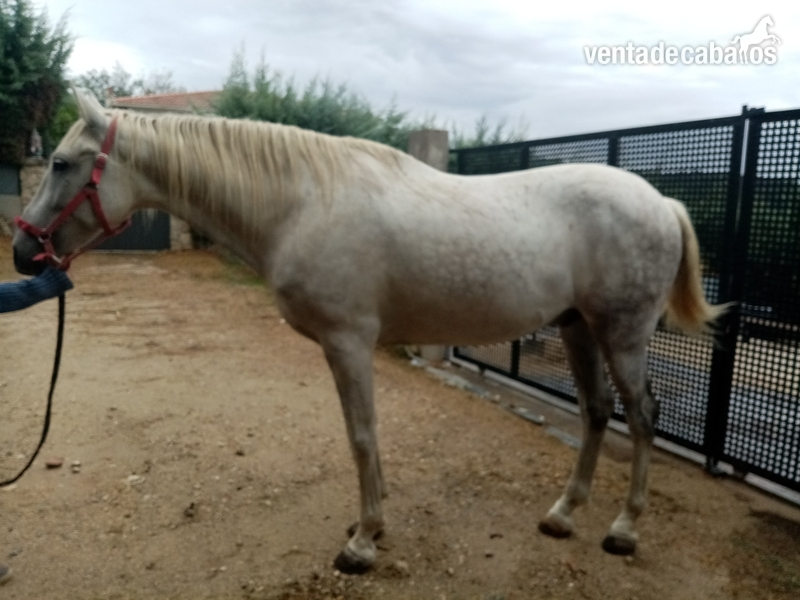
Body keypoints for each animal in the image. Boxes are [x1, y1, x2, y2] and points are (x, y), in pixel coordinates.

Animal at [13, 91, 723, 573]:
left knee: (642, 416)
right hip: (578, 328)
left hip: (622, 333)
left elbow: (360, 435)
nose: (23, 253)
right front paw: (373, 527)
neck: (301, 202)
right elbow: (367, 436)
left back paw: (623, 529)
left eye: (62, 163)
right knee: (598, 413)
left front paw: (362, 541)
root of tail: (662, 202)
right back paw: (562, 515)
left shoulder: (348, 342)